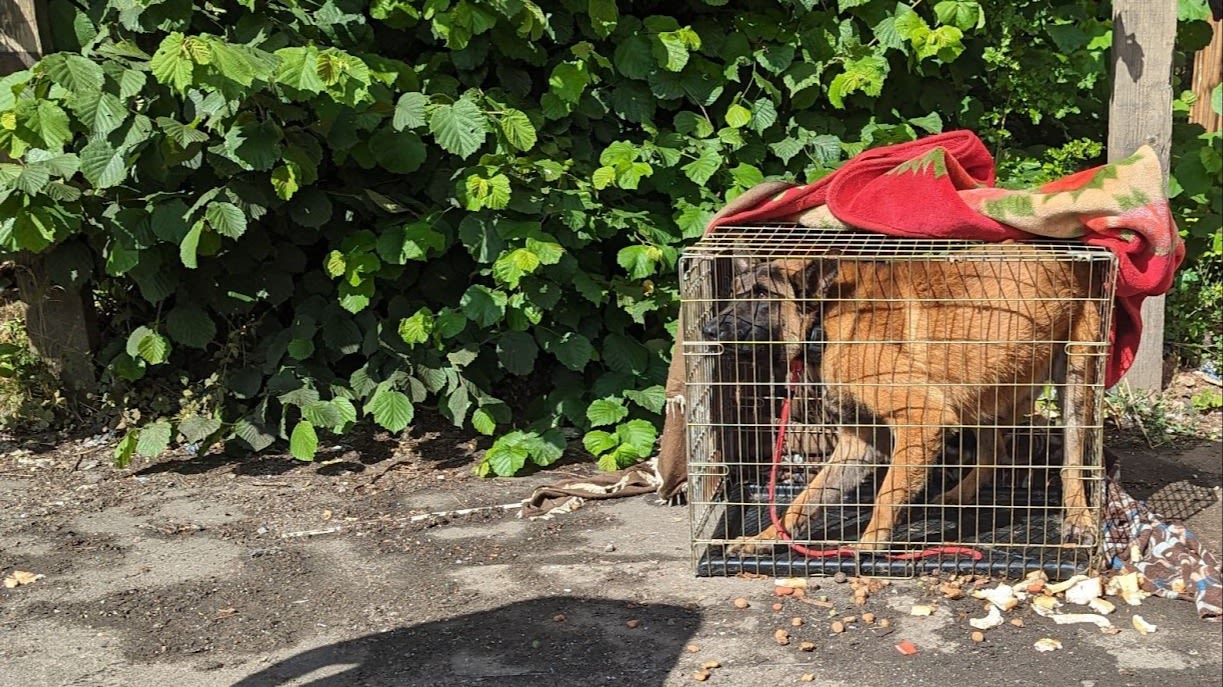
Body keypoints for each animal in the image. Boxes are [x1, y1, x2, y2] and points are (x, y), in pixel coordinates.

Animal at [704, 243, 1105, 552]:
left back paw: (1079, 521)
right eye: (735, 295)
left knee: (1071, 464)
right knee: (995, 453)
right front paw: (766, 538)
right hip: (985, 386)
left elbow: (887, 492)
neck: (826, 319)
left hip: (1073, 387)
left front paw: (870, 544)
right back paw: (959, 496)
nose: (708, 330)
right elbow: (805, 500)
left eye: (761, 296)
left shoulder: (921, 419)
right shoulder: (859, 444)